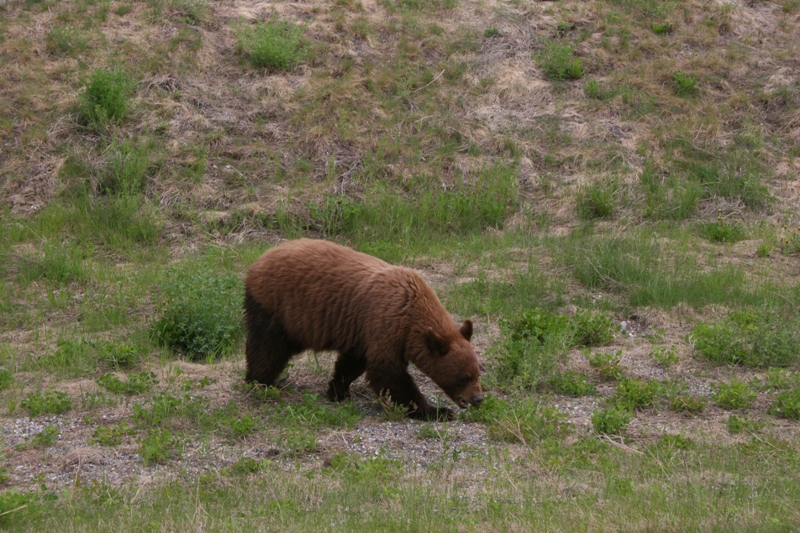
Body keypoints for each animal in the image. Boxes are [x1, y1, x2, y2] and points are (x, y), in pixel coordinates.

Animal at [242, 238, 482, 420]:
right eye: (464, 377)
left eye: (478, 373)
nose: (478, 399)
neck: (412, 309)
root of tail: (258, 261)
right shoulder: (385, 323)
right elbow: (388, 373)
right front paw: (437, 411)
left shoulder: (363, 332)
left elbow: (353, 363)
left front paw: (338, 391)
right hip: (275, 307)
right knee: (267, 348)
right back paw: (260, 382)